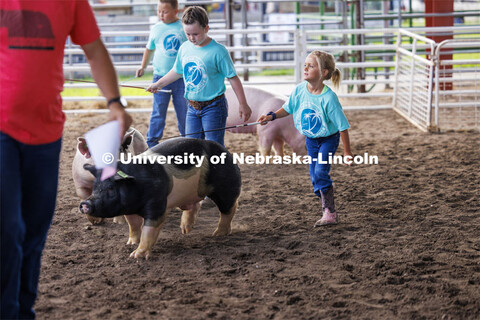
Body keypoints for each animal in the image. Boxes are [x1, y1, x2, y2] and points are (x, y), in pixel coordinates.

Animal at [81, 138, 244, 260]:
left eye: (110, 188)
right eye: (95, 187)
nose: (85, 203)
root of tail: (227, 152)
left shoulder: (157, 204)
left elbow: (149, 229)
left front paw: (135, 256)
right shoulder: (129, 209)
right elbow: (133, 225)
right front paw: (130, 244)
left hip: (226, 186)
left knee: (230, 207)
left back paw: (217, 234)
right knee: (195, 206)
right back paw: (185, 231)